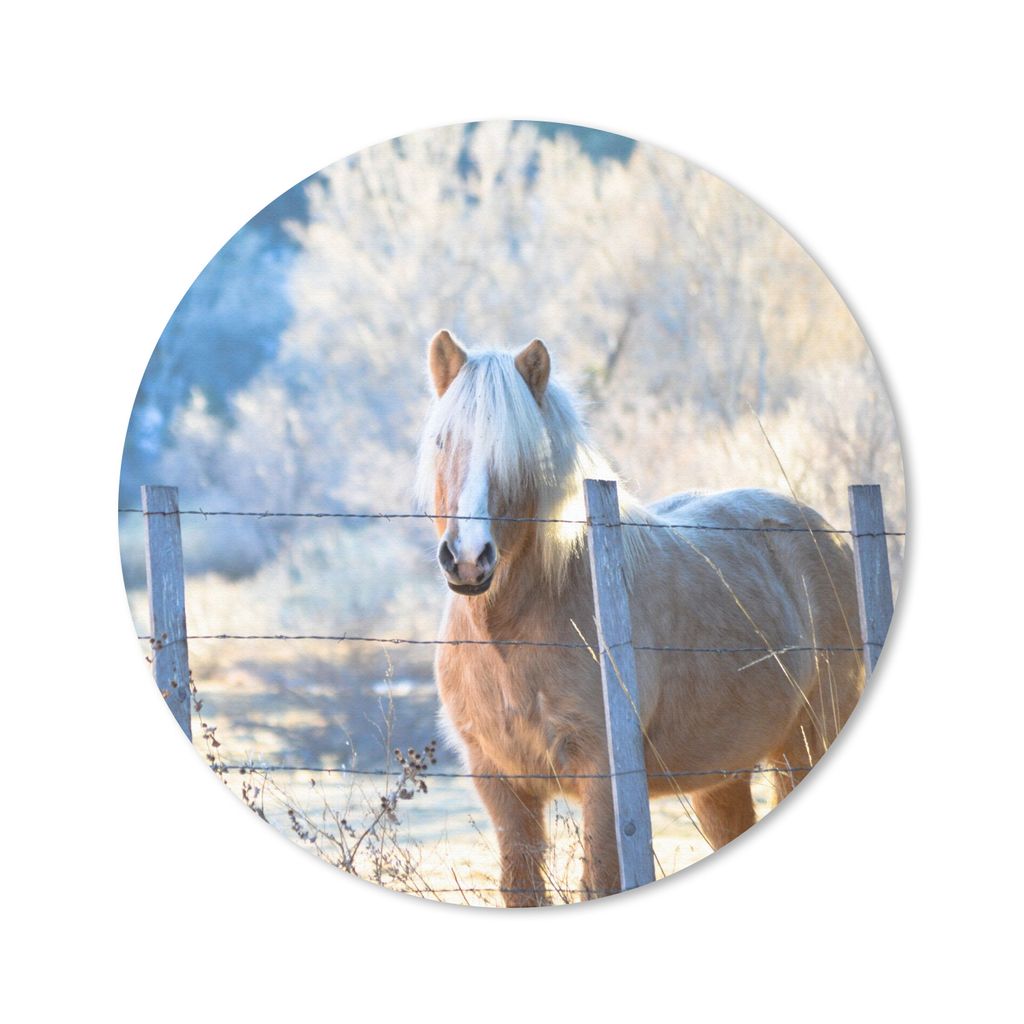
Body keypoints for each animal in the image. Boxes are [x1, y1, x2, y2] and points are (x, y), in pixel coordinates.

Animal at [417, 329, 864, 906]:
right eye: (442, 442)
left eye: (521, 455)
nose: (469, 559)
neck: (510, 639)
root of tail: (827, 535)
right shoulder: (501, 784)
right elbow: (522, 889)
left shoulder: (605, 782)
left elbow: (602, 882)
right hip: (724, 778)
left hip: (803, 748)